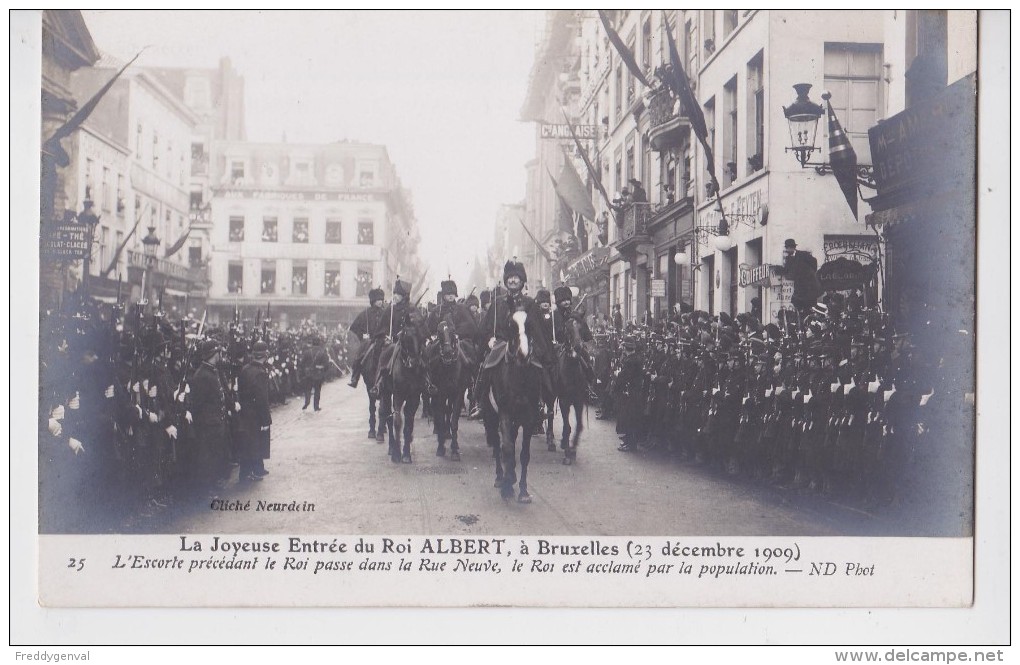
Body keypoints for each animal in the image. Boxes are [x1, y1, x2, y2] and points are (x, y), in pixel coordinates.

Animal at [379, 316, 426, 463]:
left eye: (421, 337)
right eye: (406, 337)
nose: (415, 362)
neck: (408, 370)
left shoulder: (414, 397)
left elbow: (409, 423)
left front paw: (406, 454)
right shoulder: (398, 395)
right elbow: (397, 422)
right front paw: (397, 454)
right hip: (386, 394)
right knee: (388, 418)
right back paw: (392, 447)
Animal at [430, 322, 477, 463]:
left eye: (453, 331)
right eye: (439, 332)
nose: (447, 353)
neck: (448, 367)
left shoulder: (457, 394)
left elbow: (454, 422)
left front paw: (455, 450)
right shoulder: (439, 394)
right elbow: (440, 417)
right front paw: (440, 447)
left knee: (449, 411)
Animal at [483, 310, 546, 501]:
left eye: (531, 325)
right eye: (511, 325)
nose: (523, 355)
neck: (520, 376)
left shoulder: (529, 417)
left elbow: (524, 454)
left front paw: (523, 491)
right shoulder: (505, 412)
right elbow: (507, 448)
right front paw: (507, 484)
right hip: (491, 415)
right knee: (498, 444)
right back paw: (499, 477)